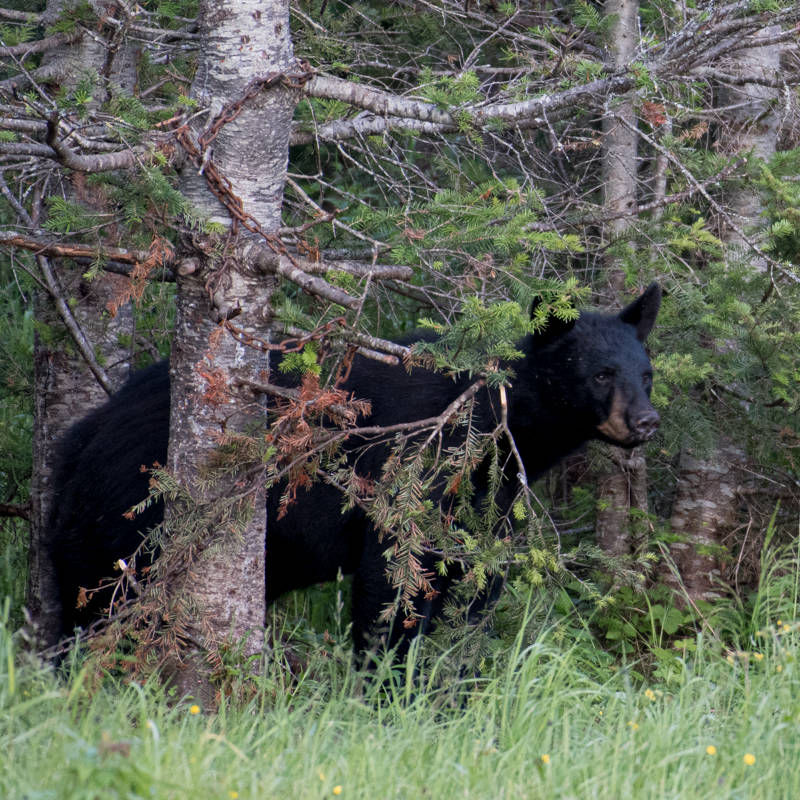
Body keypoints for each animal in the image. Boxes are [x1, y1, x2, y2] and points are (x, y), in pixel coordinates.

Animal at [48, 284, 664, 652]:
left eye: (646, 373)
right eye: (601, 374)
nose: (647, 420)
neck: (490, 431)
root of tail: (83, 434)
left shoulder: (487, 511)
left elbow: (473, 598)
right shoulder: (411, 478)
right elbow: (393, 585)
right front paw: (391, 694)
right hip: (125, 517)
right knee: (94, 603)